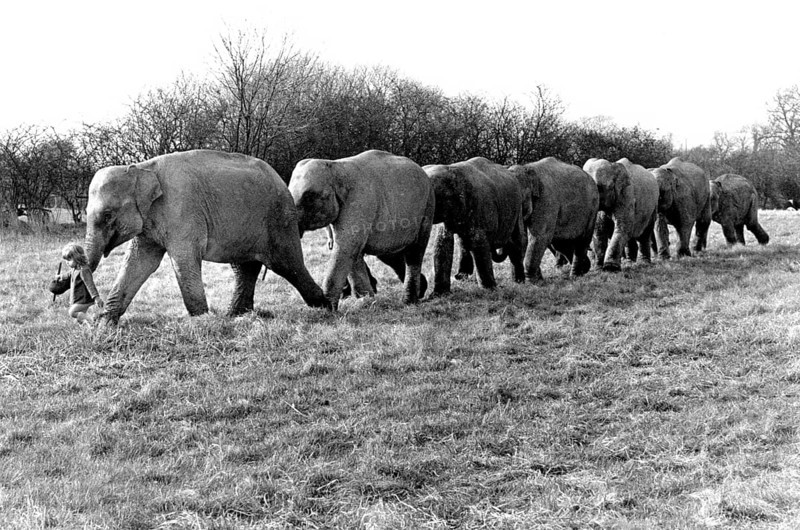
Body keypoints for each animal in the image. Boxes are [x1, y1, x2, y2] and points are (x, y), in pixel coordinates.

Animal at [84, 149, 331, 324]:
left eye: (107, 215)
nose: (96, 306)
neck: (141, 168)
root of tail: (281, 180)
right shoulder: (149, 222)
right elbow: (140, 262)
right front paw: (104, 324)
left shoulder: (181, 210)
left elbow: (183, 260)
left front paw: (201, 321)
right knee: (245, 267)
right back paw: (236, 316)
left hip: (279, 219)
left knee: (286, 264)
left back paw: (325, 307)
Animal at [289, 149, 434, 309]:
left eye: (308, 197)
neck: (335, 168)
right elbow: (353, 251)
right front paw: (367, 301)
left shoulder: (359, 202)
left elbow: (347, 247)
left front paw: (327, 308)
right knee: (390, 254)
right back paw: (421, 290)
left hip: (427, 208)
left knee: (415, 251)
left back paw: (410, 301)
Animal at [424, 157, 526, 295]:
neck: (450, 170)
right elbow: (442, 242)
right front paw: (438, 294)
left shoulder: (480, 208)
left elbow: (479, 242)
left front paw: (490, 289)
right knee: (464, 242)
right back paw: (461, 276)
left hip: (518, 207)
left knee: (517, 239)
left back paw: (520, 281)